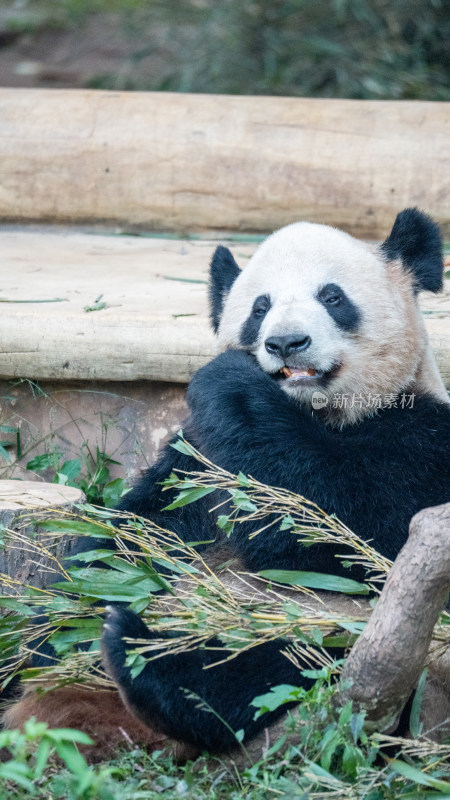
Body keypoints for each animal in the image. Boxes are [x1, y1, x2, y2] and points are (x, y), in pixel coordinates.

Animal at [3, 205, 450, 756]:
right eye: (260, 308)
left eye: (333, 297)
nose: (286, 343)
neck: (316, 414)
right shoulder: (197, 462)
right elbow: (140, 532)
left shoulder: (421, 439)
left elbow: (348, 529)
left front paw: (231, 379)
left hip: (330, 625)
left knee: (273, 661)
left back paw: (150, 664)